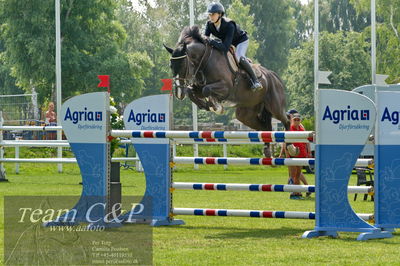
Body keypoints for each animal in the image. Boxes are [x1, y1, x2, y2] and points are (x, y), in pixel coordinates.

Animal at [164, 25, 290, 156]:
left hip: (275, 107)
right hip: (246, 114)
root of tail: (274, 76)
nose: (178, 93)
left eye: (183, 65)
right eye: (171, 65)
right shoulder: (198, 87)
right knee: (264, 128)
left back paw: (290, 146)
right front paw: (206, 105)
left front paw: (216, 107)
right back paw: (267, 151)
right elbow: (192, 91)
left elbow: (206, 90)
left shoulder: (226, 87)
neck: (205, 60)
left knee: (286, 120)